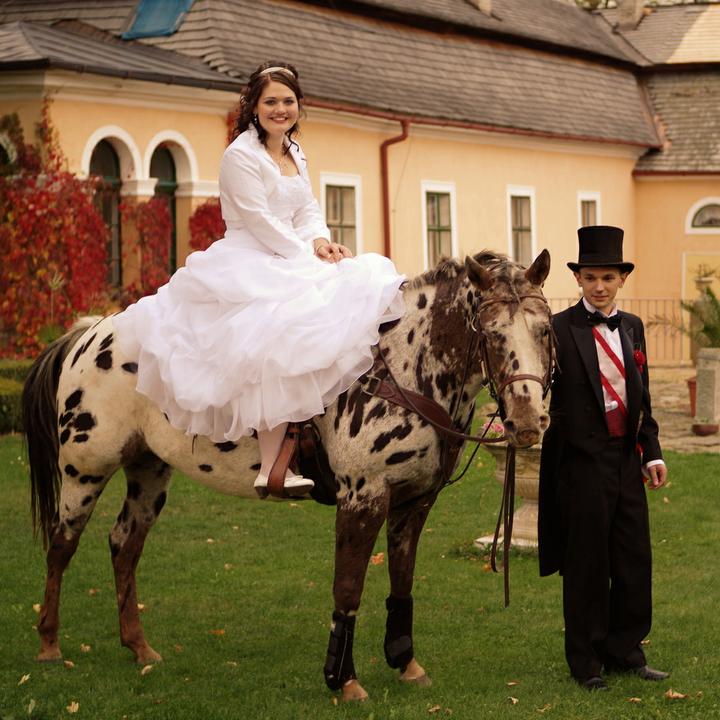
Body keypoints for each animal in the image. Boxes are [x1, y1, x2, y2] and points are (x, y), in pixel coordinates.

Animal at [22, 250, 552, 702]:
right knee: (61, 544)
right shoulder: (362, 499)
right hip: (85, 471)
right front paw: (343, 678)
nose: (530, 421)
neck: (400, 368)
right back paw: (48, 644)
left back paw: (138, 646)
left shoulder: (415, 501)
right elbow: (348, 587)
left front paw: (405, 661)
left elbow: (402, 581)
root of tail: (91, 331)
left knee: (124, 545)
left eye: (545, 330)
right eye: (492, 332)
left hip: (149, 471)